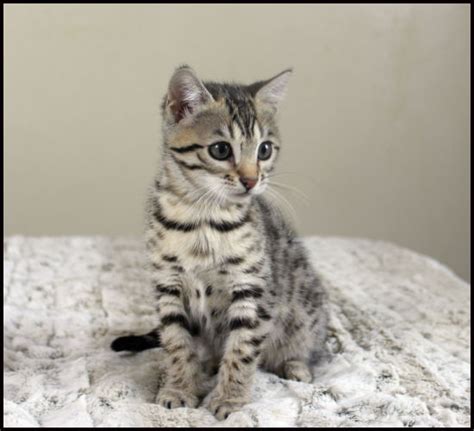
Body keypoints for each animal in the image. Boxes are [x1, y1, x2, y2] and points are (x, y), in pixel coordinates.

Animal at [111, 66, 328, 420]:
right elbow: (176, 343)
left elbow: (242, 350)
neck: (203, 219)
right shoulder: (168, 286)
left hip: (307, 309)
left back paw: (295, 365)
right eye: (221, 150)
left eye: (264, 150)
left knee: (308, 346)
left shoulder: (252, 289)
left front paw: (230, 399)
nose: (251, 180)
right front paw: (179, 388)